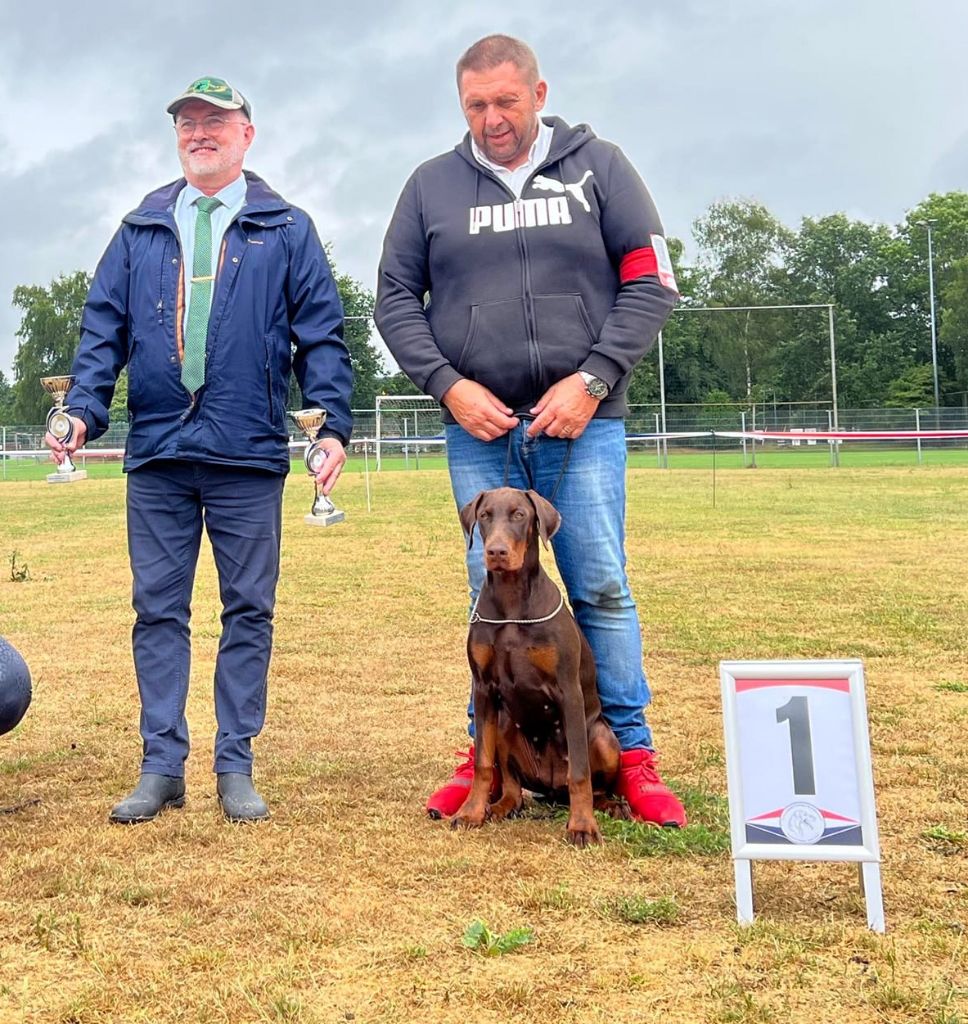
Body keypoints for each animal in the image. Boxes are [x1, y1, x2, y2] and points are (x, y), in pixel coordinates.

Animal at [450, 487, 630, 847]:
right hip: (504, 725)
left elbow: (580, 773)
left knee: (595, 785)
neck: (511, 604)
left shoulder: (568, 691)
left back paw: (609, 805)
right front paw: (471, 812)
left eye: (520, 515)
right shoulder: (483, 688)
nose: (496, 551)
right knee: (512, 786)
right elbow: (483, 763)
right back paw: (499, 806)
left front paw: (582, 826)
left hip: (603, 737)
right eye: (485, 515)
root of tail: (551, 791)